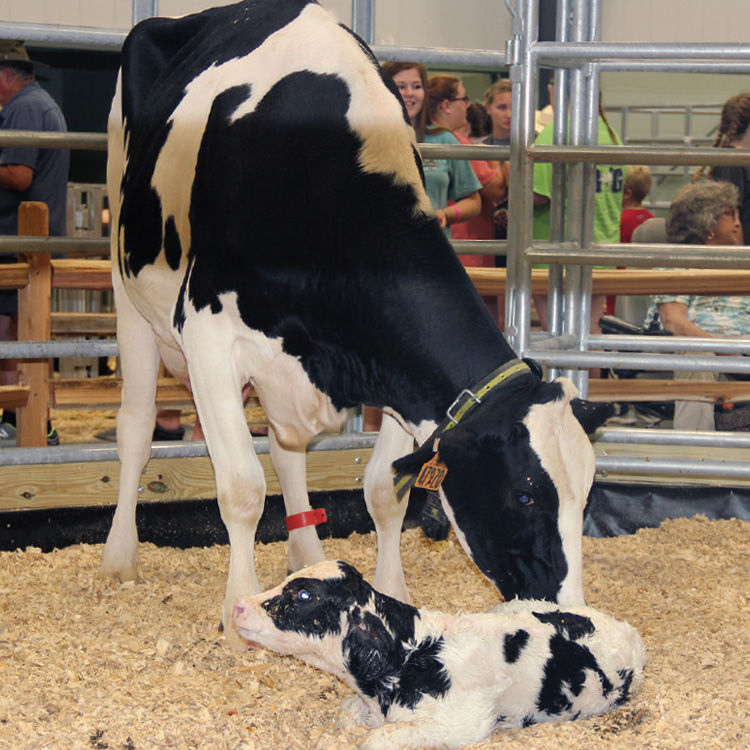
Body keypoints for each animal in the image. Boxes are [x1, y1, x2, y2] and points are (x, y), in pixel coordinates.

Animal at [103, 0, 600, 648]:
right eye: (524, 492)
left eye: (588, 491)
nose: (571, 616)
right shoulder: (208, 333)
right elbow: (241, 489)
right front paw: (237, 616)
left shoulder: (398, 378)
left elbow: (384, 491)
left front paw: (392, 591)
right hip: (128, 290)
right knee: (136, 430)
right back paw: (119, 558)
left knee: (285, 448)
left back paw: (305, 551)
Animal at [235, 560, 648, 748]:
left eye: (305, 595)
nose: (239, 606)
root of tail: (626, 629)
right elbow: (350, 716)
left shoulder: (464, 723)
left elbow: (377, 739)